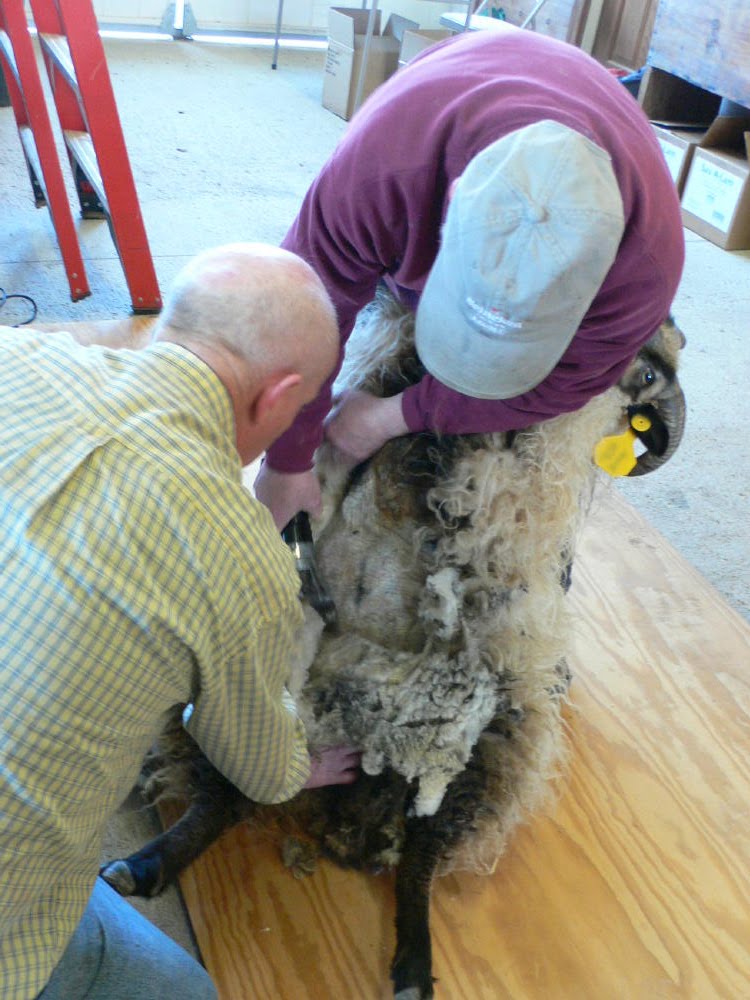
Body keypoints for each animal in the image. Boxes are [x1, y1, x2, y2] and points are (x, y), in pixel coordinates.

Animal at [101, 288, 686, 999]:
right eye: (647, 368)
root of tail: (346, 801)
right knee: (230, 794)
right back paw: (144, 868)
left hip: (483, 743)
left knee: (421, 854)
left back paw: (412, 964)